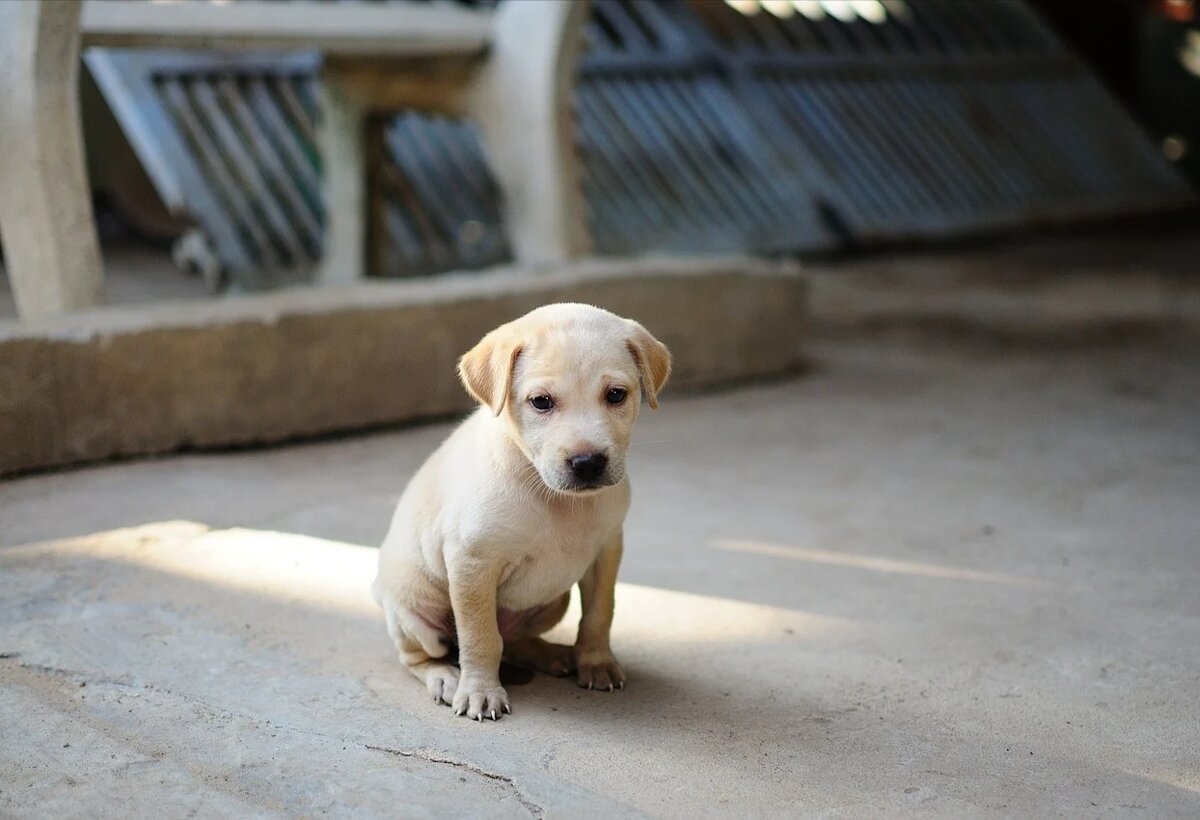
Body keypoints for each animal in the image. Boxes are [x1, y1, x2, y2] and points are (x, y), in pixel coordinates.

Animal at [369, 301, 672, 720]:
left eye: (615, 395)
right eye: (541, 402)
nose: (588, 463)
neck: (555, 499)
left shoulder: (607, 549)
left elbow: (599, 612)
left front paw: (596, 662)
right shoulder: (472, 562)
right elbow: (480, 636)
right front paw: (480, 690)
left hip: (553, 600)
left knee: (513, 640)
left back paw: (550, 654)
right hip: (415, 608)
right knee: (424, 654)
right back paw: (445, 677)